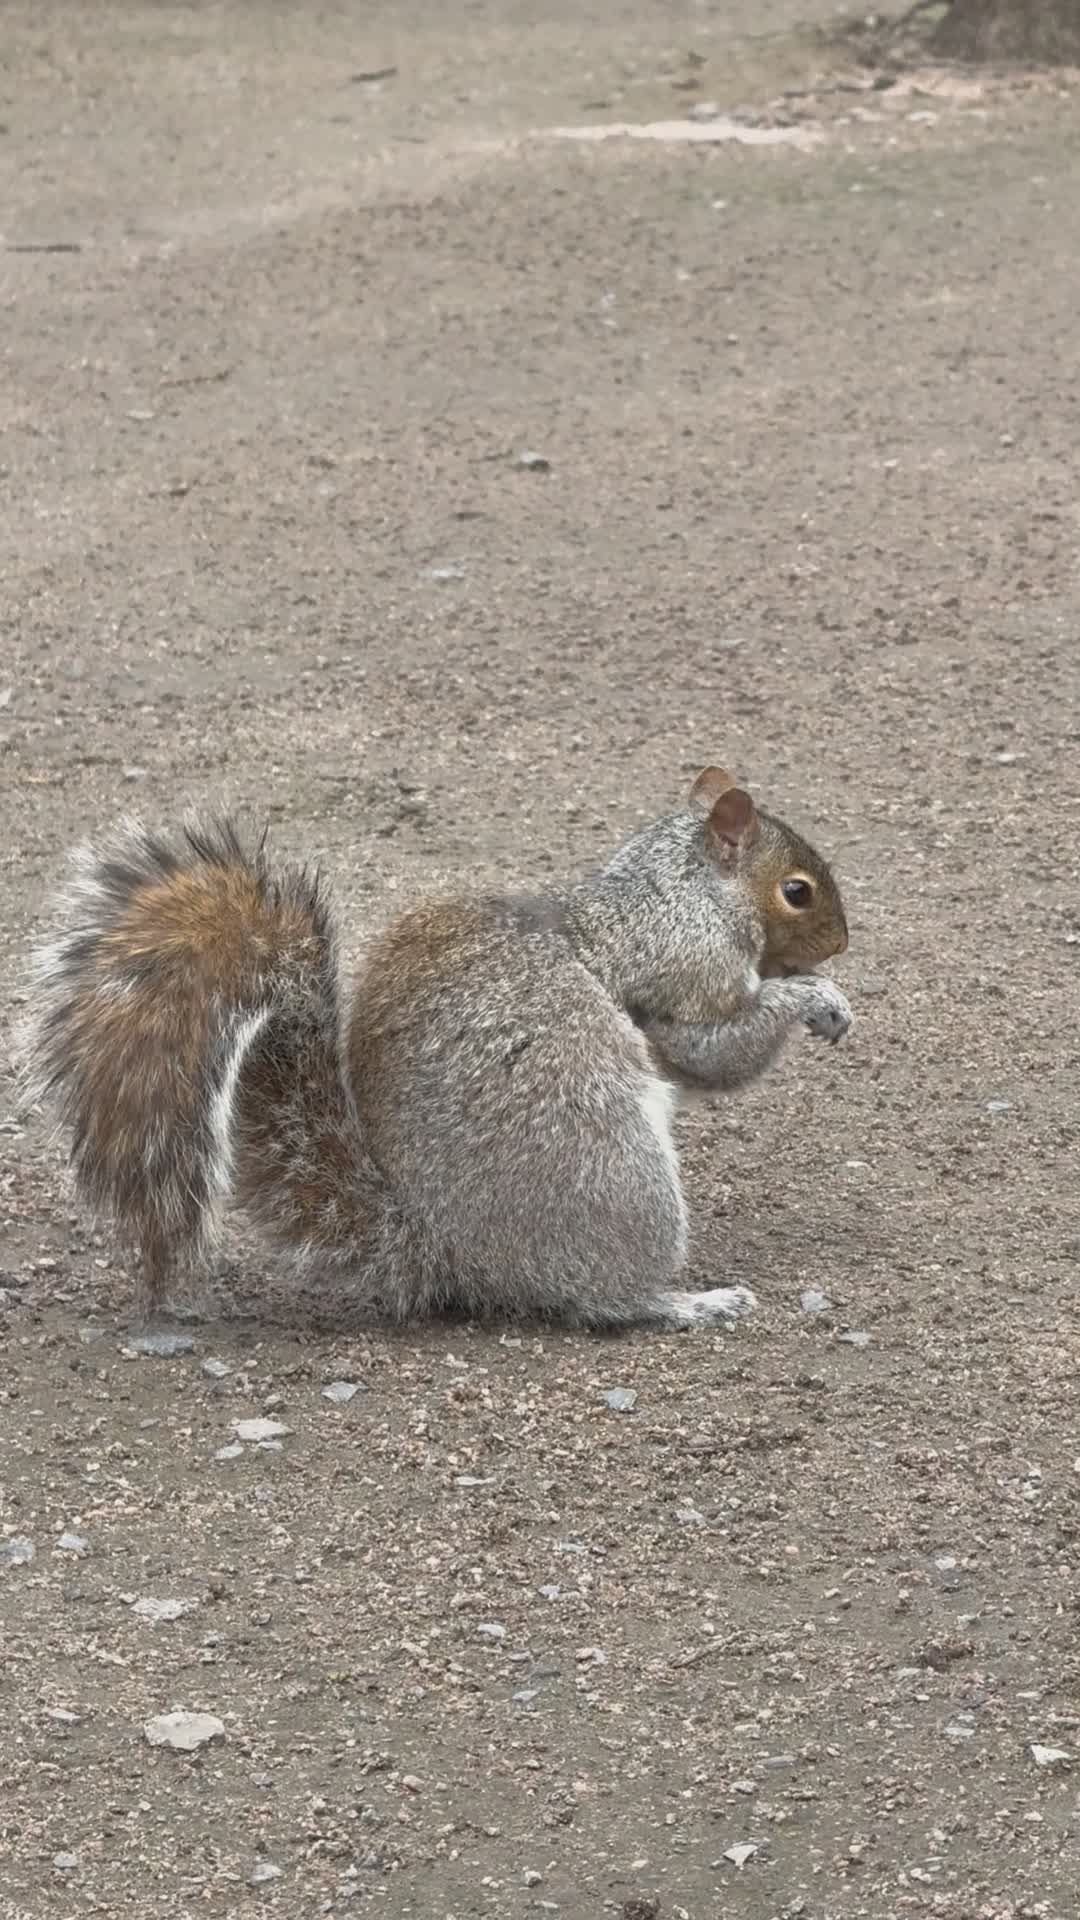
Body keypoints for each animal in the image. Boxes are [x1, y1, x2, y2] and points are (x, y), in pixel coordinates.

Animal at [19, 766, 851, 1331]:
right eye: (798, 891)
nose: (843, 944)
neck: (685, 891)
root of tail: (443, 1251)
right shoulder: (681, 976)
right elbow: (715, 1049)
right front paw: (816, 998)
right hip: (618, 1173)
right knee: (601, 1299)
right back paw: (689, 1301)